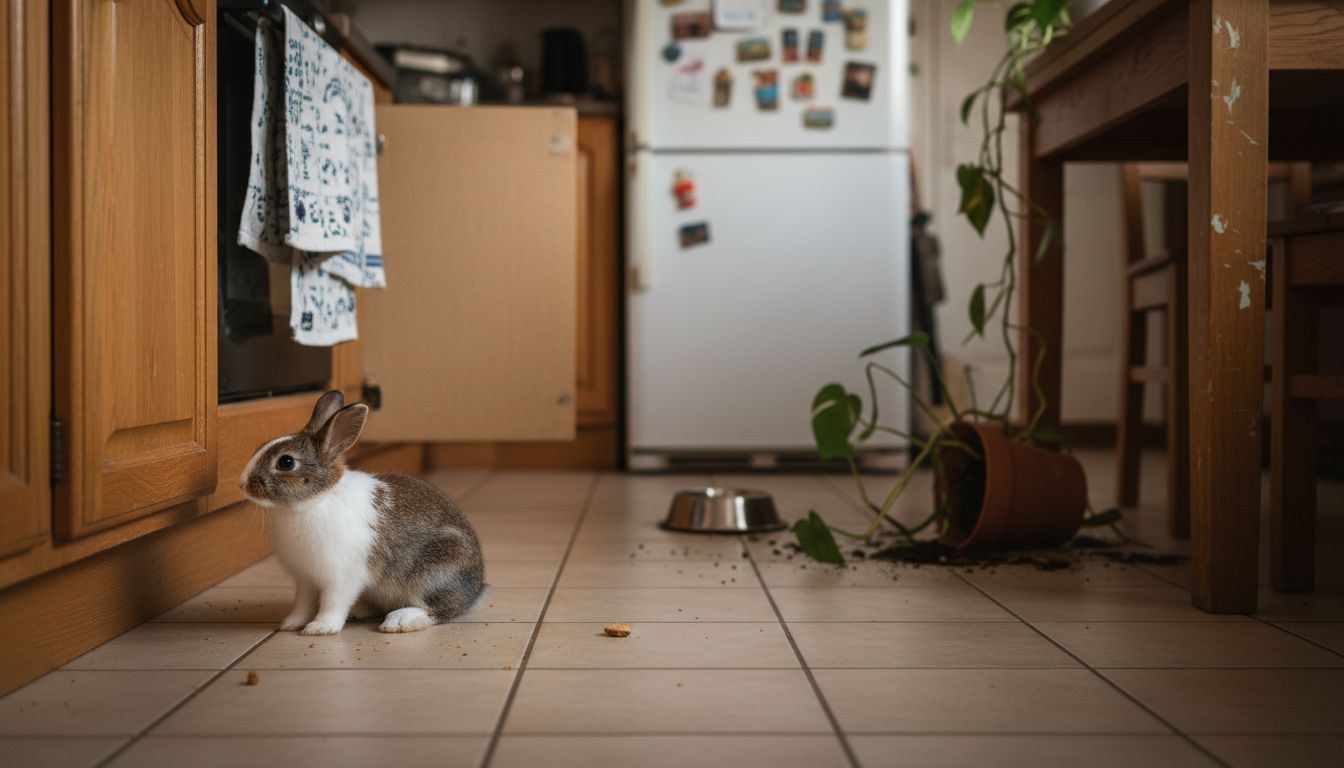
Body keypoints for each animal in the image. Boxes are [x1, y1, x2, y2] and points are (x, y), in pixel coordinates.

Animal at [239, 390, 485, 635]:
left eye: (286, 462)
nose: (242, 484)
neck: (315, 499)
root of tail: (477, 589)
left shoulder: (341, 576)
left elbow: (333, 602)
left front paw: (320, 628)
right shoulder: (305, 579)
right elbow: (303, 603)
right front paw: (290, 624)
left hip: (434, 573)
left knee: (440, 610)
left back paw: (399, 620)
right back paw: (360, 611)